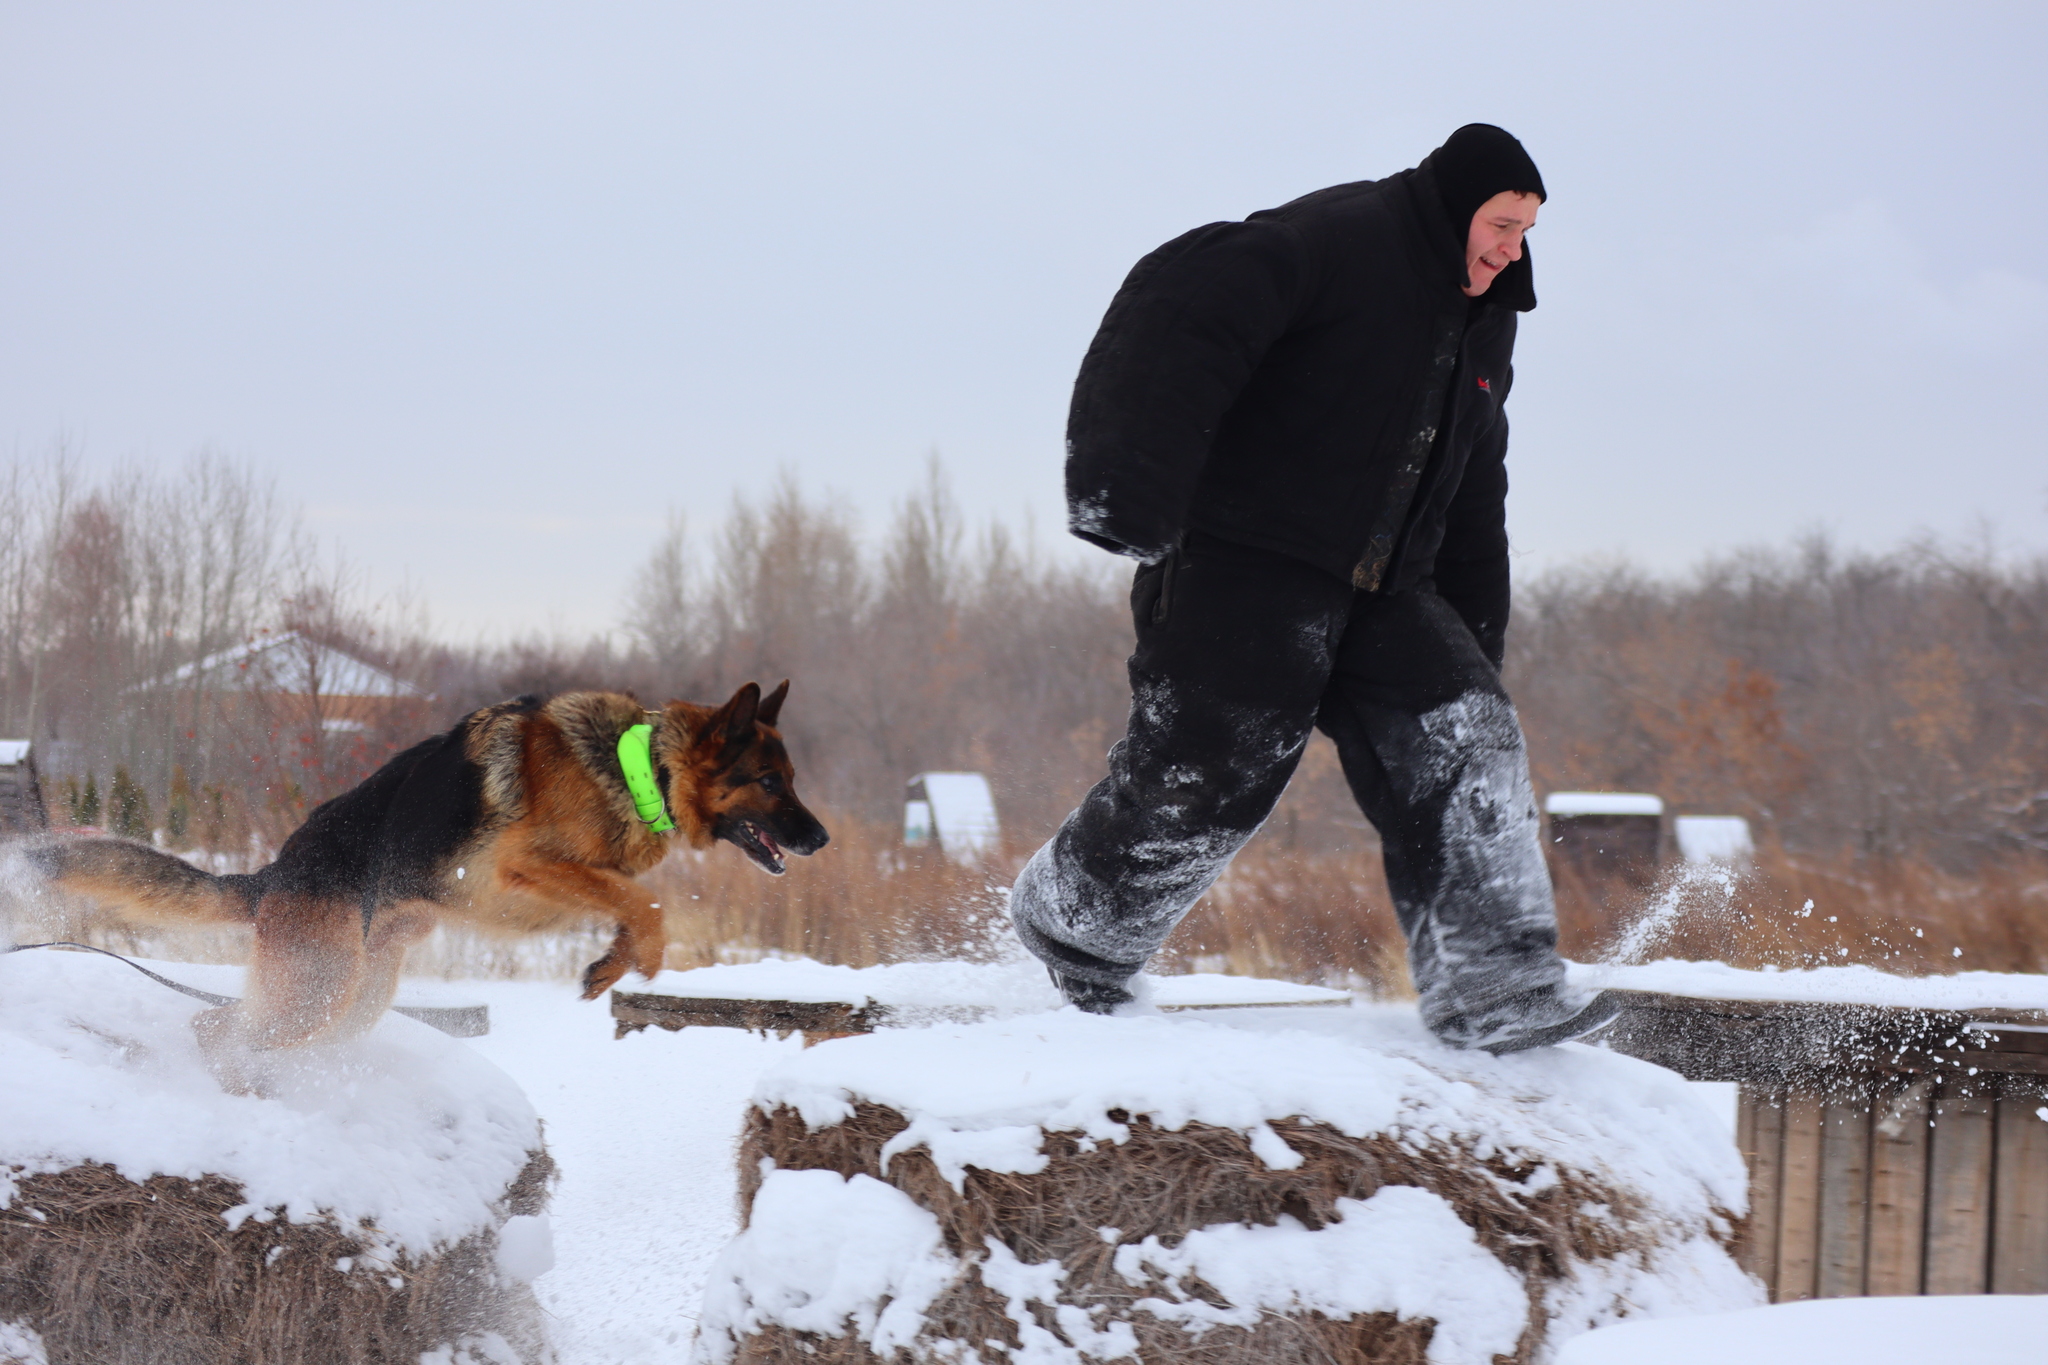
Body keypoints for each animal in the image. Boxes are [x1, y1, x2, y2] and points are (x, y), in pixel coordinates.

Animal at [24, 679, 823, 1072]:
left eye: (790, 778)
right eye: (769, 781)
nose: (819, 837)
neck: (635, 767)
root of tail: (275, 873)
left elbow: (629, 901)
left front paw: (611, 964)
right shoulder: (527, 866)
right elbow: (646, 900)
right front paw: (645, 957)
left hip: (354, 998)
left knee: (226, 1024)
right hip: (316, 992)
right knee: (214, 1025)